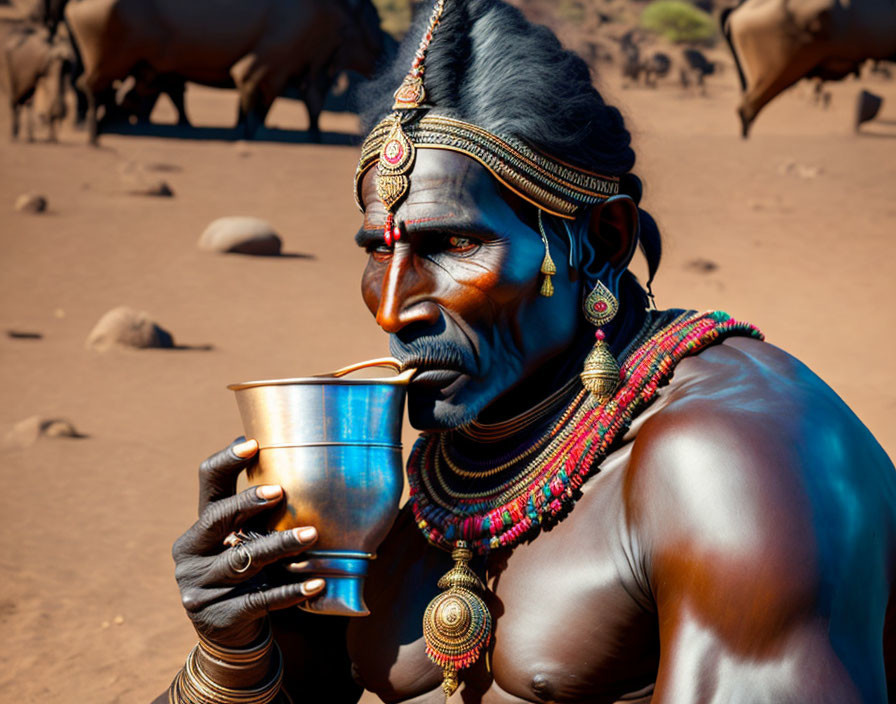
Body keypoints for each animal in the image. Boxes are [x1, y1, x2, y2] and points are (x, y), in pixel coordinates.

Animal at [63, 0, 384, 144]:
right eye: (376, 21)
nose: (383, 50)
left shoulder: (303, 65)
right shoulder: (269, 61)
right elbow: (254, 96)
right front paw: (247, 133)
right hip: (110, 60)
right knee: (91, 88)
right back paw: (93, 133)